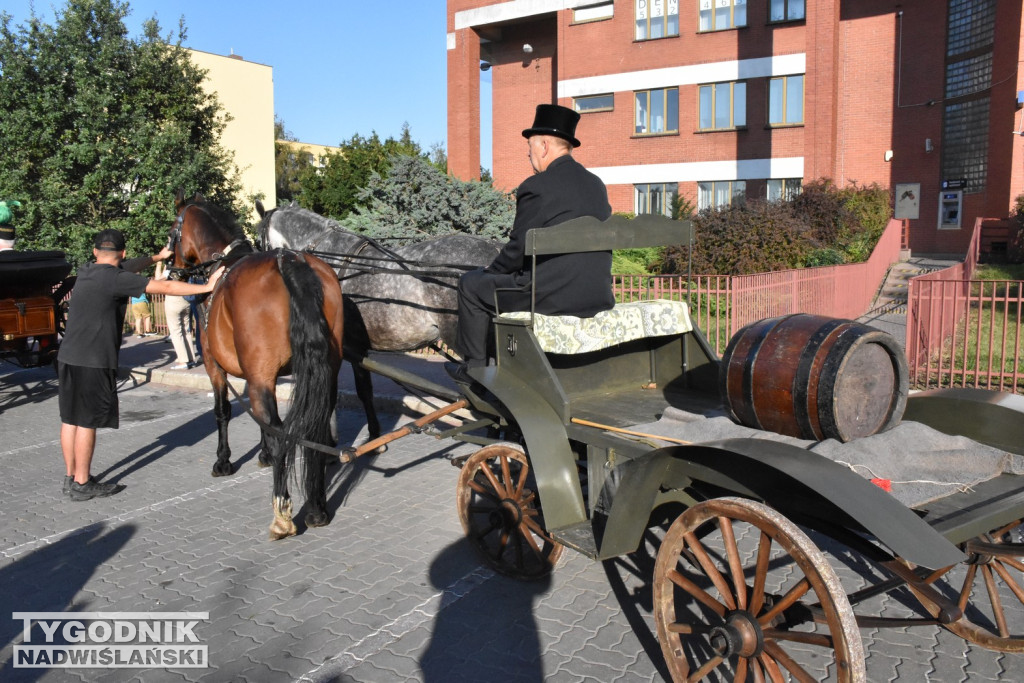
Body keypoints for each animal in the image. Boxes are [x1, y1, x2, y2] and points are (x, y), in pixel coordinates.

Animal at [166, 191, 344, 540]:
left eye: (172, 232)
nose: (172, 270)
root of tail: (290, 261)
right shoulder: (256, 374)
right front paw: (262, 454)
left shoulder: (215, 366)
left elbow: (222, 412)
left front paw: (223, 461)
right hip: (327, 370)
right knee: (314, 427)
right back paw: (316, 508)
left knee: (279, 431)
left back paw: (282, 513)